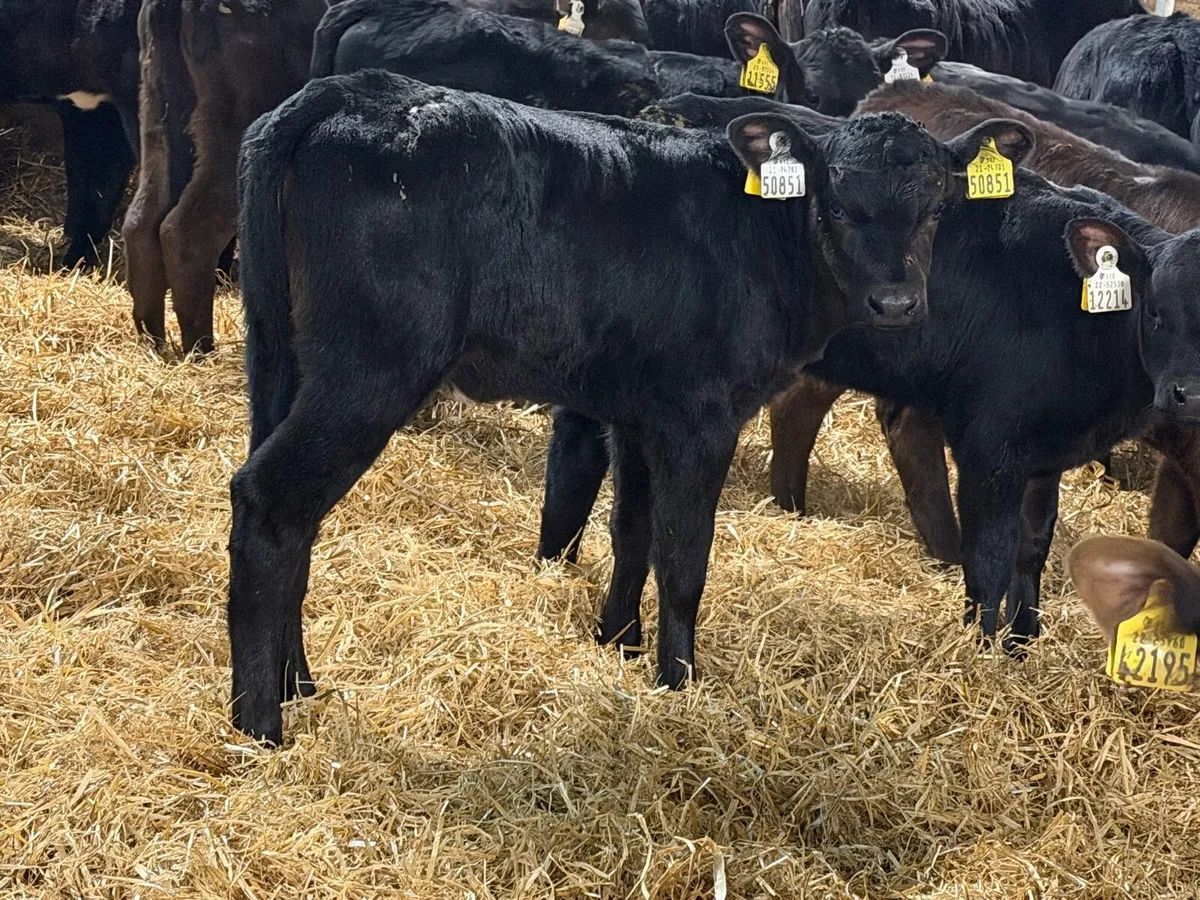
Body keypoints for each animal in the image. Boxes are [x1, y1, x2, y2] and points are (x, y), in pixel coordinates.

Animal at [121, 0, 326, 354]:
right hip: (235, 140)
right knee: (188, 231)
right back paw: (201, 349)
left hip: (158, 118)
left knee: (141, 221)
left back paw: (155, 342)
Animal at [226, 69, 1019, 744]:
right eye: (841, 206)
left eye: (937, 208)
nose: (897, 303)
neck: (767, 237)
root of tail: (353, 89)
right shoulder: (700, 414)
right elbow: (684, 554)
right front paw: (679, 681)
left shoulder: (640, 412)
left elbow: (632, 531)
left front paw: (620, 643)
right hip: (371, 367)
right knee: (271, 500)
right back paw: (260, 725)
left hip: (278, 357)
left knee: (290, 518)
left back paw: (299, 685)